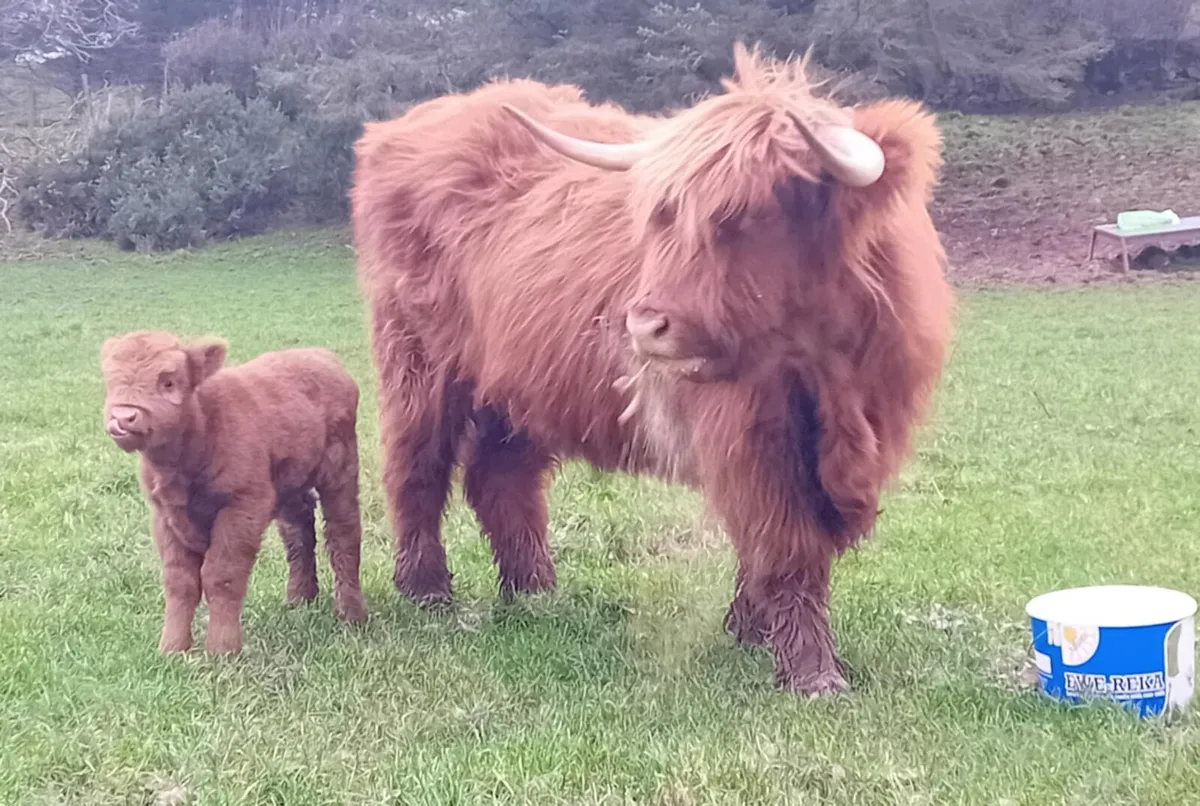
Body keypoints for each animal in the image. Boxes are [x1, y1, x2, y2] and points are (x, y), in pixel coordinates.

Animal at [349, 43, 953, 695]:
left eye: (748, 216)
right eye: (664, 215)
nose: (643, 325)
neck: (828, 371)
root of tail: (400, 128)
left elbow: (768, 546)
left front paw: (750, 628)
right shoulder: (751, 437)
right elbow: (786, 545)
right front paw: (813, 672)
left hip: (518, 378)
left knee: (500, 478)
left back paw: (535, 592)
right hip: (419, 359)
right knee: (417, 466)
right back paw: (428, 591)